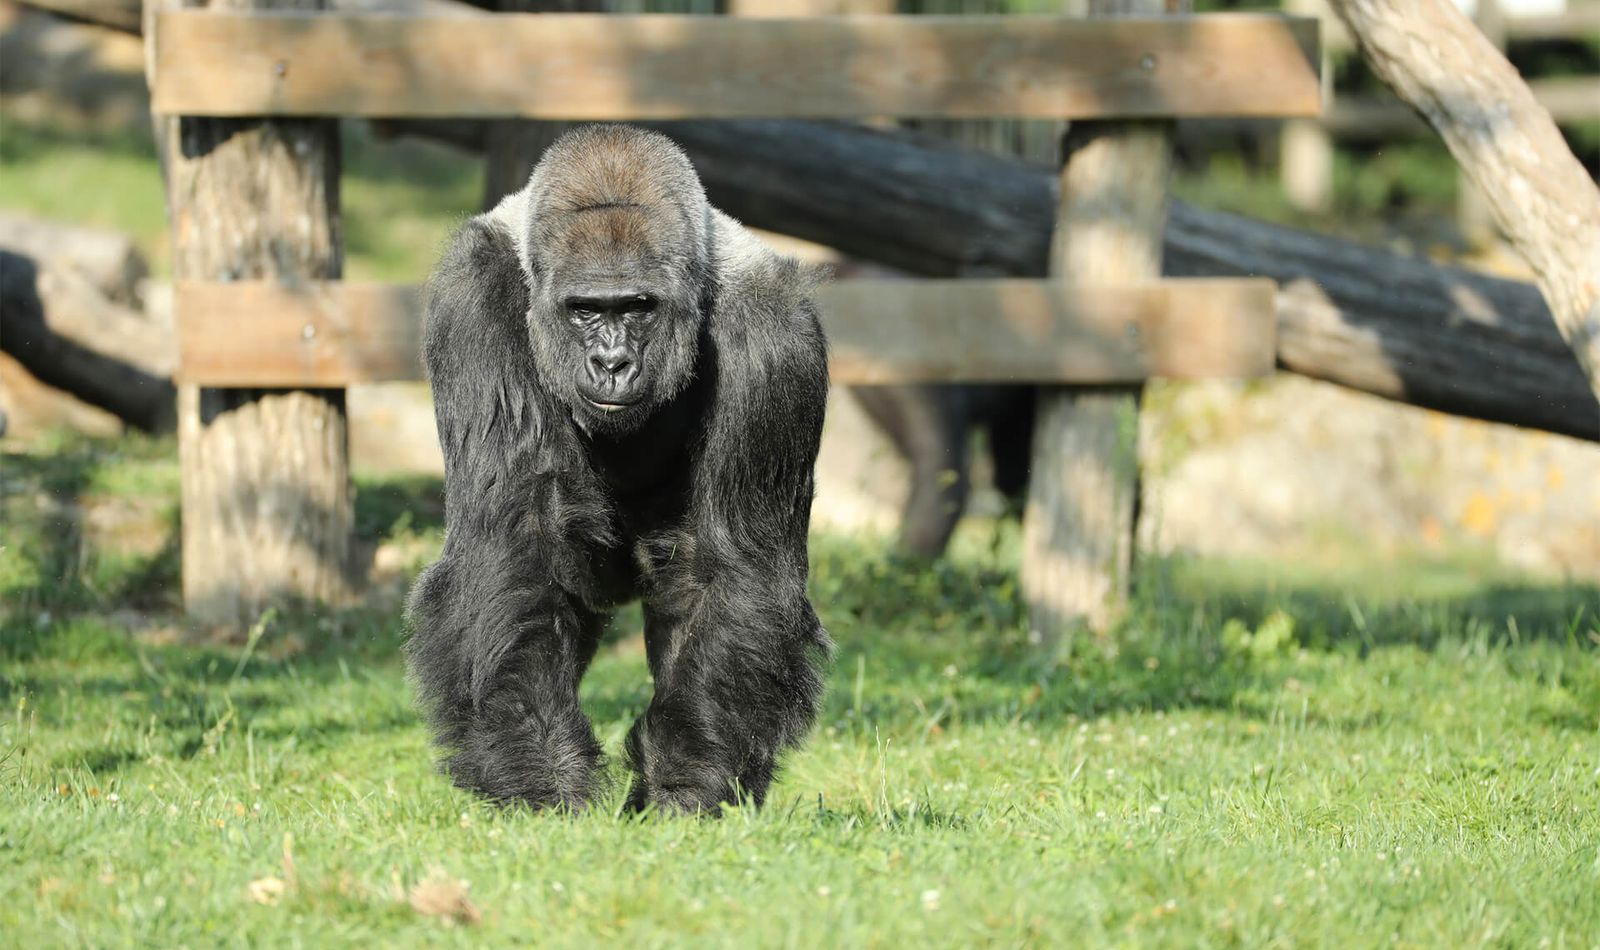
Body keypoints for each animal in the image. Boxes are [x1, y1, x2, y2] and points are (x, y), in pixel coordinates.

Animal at [406, 122, 832, 809]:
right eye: (586, 309)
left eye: (636, 307)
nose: (611, 362)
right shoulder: (472, 300)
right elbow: (518, 544)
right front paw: (538, 773)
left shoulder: (777, 334)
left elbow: (736, 568)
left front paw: (687, 780)